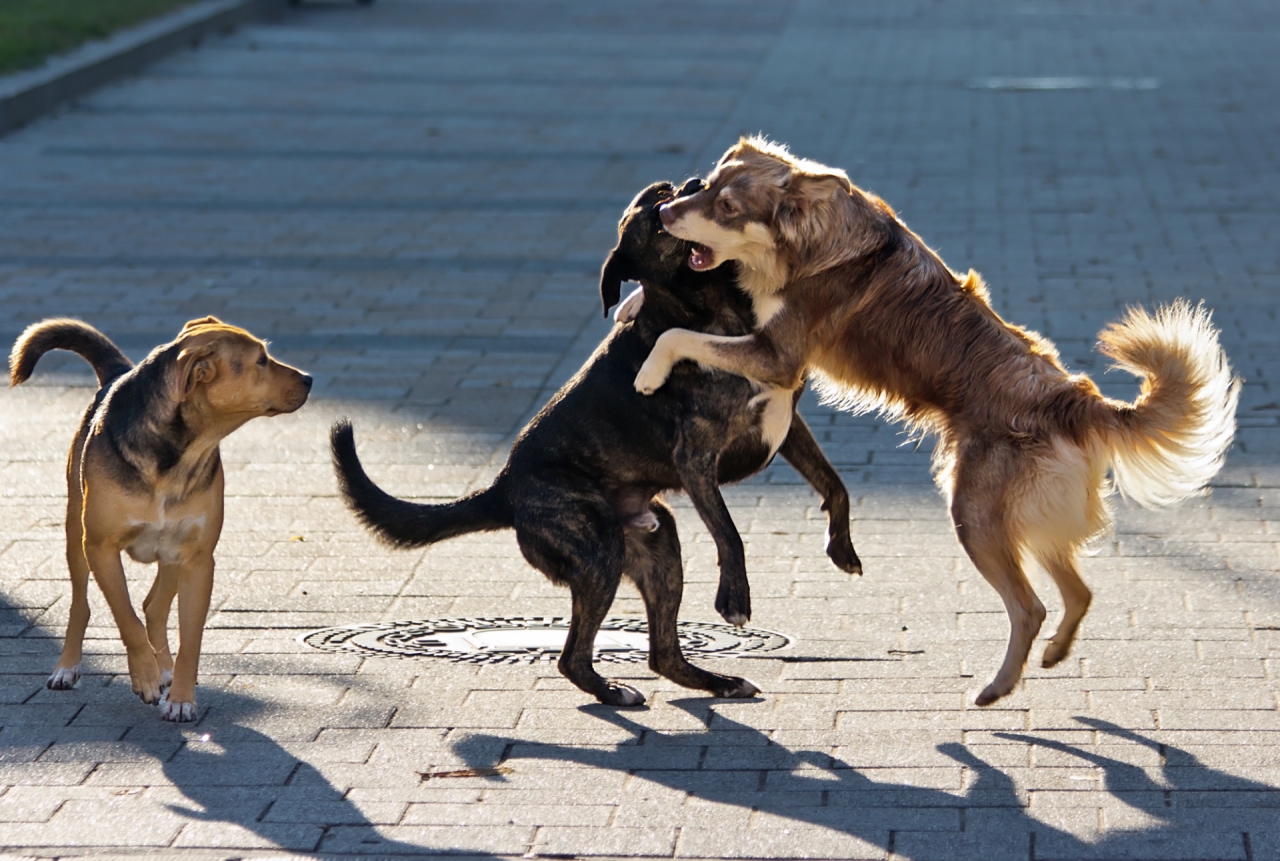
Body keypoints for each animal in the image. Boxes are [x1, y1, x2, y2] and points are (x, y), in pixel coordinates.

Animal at [8, 315, 311, 716]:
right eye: (261, 361)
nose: (309, 379)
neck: (179, 455)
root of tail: (115, 374)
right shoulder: (101, 549)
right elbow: (126, 618)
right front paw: (145, 677)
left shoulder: (198, 560)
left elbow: (189, 637)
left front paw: (180, 697)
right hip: (76, 536)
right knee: (81, 604)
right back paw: (68, 667)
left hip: (172, 556)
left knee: (154, 607)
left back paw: (164, 668)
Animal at [335, 176, 865, 706]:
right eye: (657, 219)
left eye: (675, 188)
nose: (695, 183)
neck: (715, 310)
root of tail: (503, 487)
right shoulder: (695, 460)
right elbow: (729, 532)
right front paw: (734, 598)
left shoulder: (788, 425)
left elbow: (835, 484)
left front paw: (843, 548)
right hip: (597, 552)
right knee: (572, 655)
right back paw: (614, 691)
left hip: (658, 545)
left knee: (662, 654)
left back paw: (719, 682)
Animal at [637, 137, 1239, 706]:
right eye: (705, 186)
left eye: (728, 206)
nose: (664, 212)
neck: (817, 240)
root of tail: (1070, 398)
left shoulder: (777, 356)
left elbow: (677, 334)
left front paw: (647, 372)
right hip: (1032, 515)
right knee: (1078, 592)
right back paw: (1052, 655)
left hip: (974, 514)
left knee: (1030, 607)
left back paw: (997, 687)